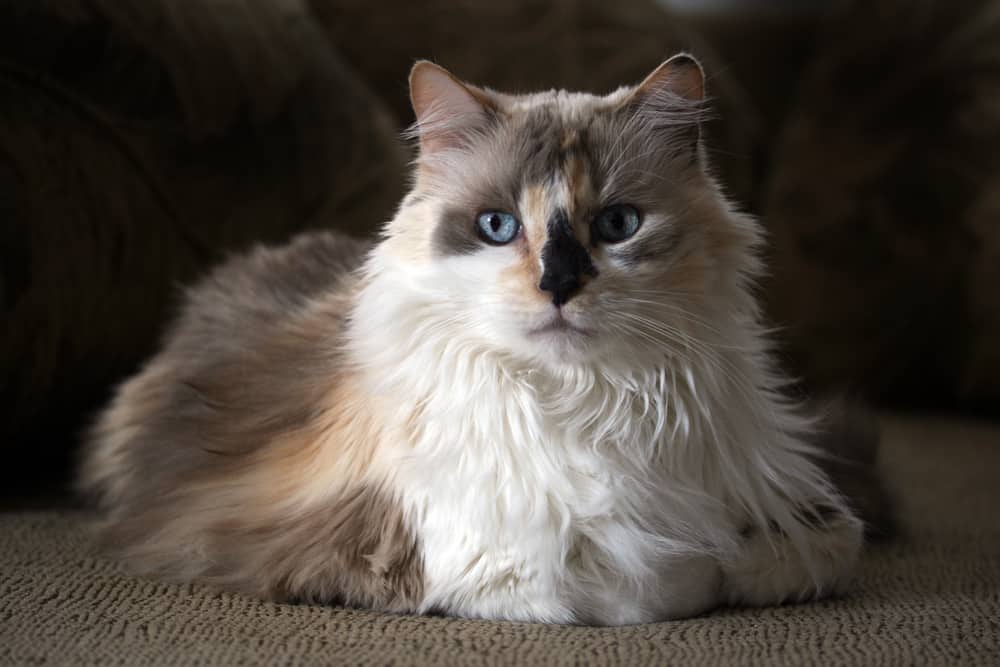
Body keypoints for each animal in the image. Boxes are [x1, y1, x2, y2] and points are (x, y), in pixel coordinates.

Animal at [78, 53, 864, 628]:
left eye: (617, 225)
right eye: (497, 227)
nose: (558, 285)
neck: (585, 403)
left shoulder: (810, 521)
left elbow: (770, 558)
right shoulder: (440, 557)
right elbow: (650, 583)